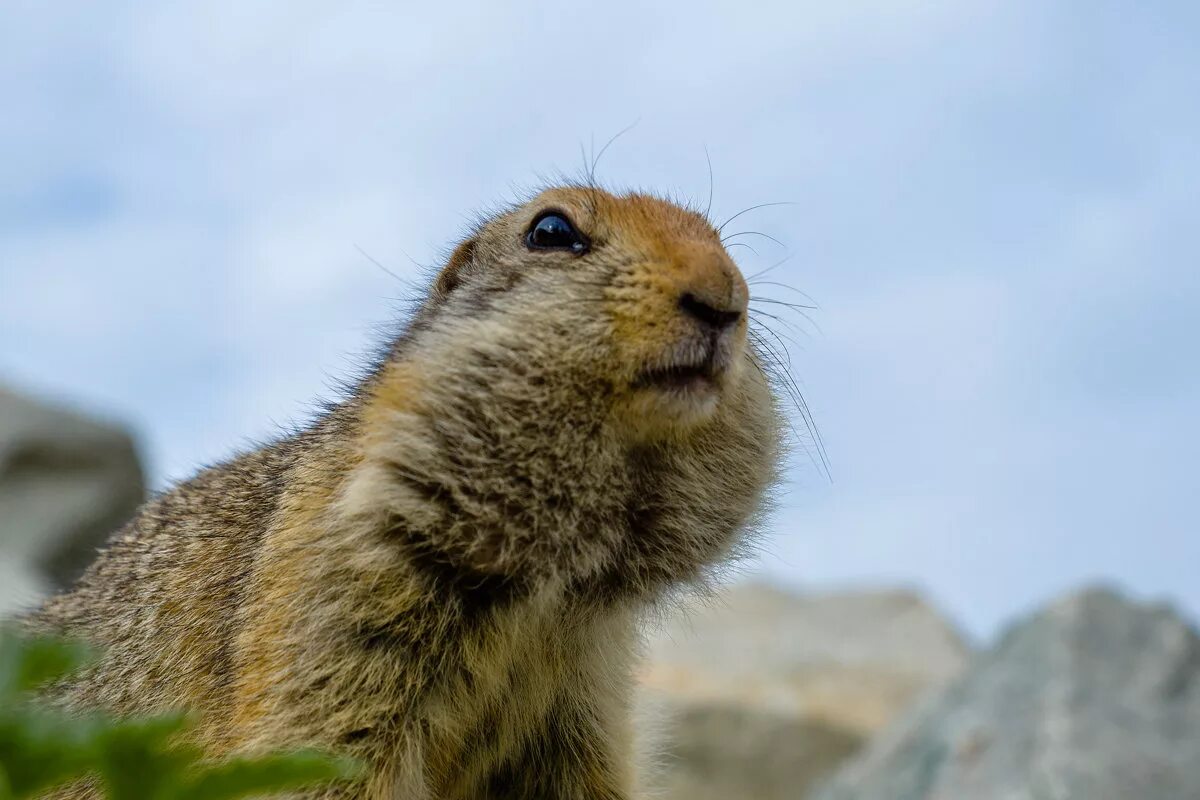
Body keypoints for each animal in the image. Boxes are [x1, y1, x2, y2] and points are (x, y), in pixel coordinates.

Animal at [28, 184, 787, 796]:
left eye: (722, 240)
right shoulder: (332, 614)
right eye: (551, 231)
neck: (540, 588)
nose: (726, 296)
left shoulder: (586, 692)